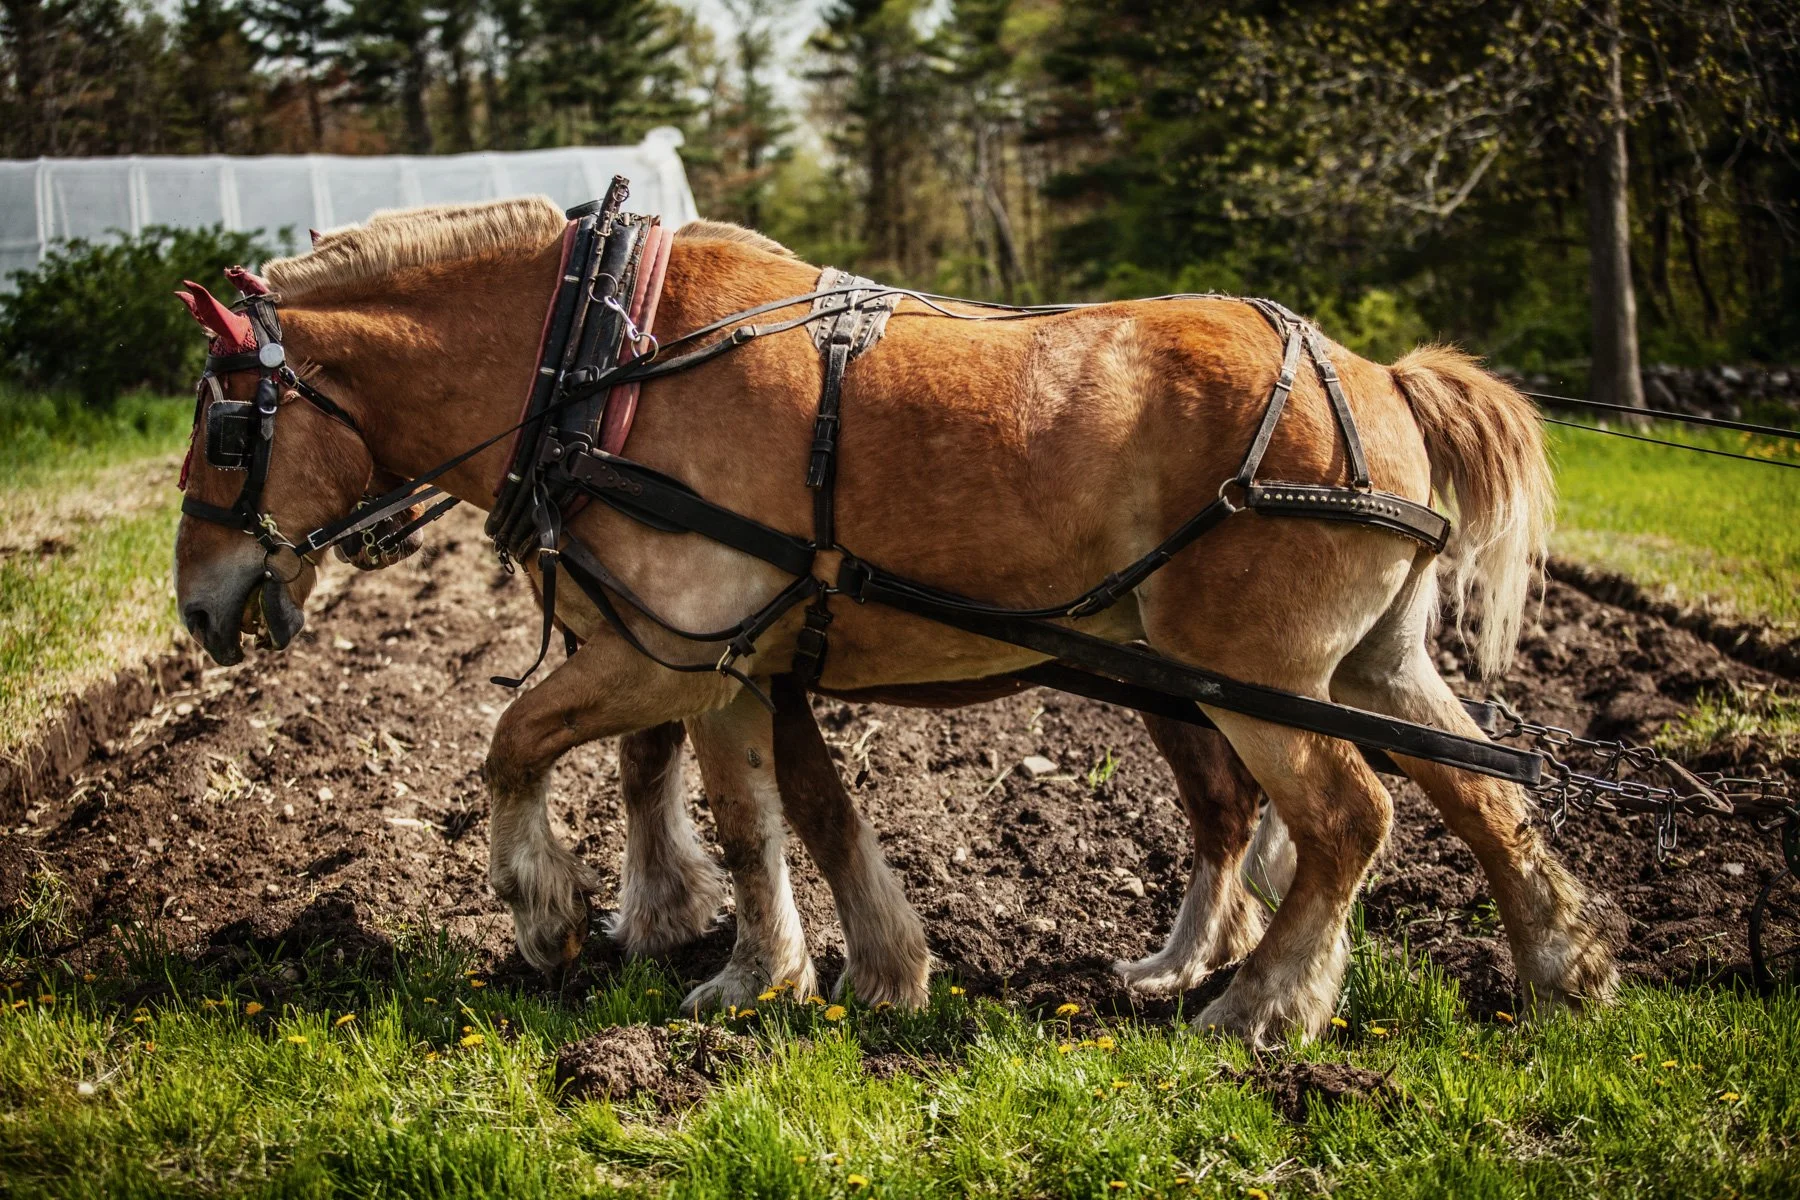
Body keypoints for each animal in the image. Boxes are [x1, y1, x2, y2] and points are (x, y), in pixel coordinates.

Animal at [172, 195, 1616, 1043]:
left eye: (227, 427)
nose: (196, 605)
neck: (605, 359)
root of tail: (1380, 377)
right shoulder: (724, 666)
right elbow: (766, 815)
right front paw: (798, 968)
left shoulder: (662, 656)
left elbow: (517, 742)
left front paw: (548, 910)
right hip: (1363, 662)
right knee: (1479, 793)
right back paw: (1561, 967)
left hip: (1244, 670)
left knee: (1347, 817)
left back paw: (1262, 1008)